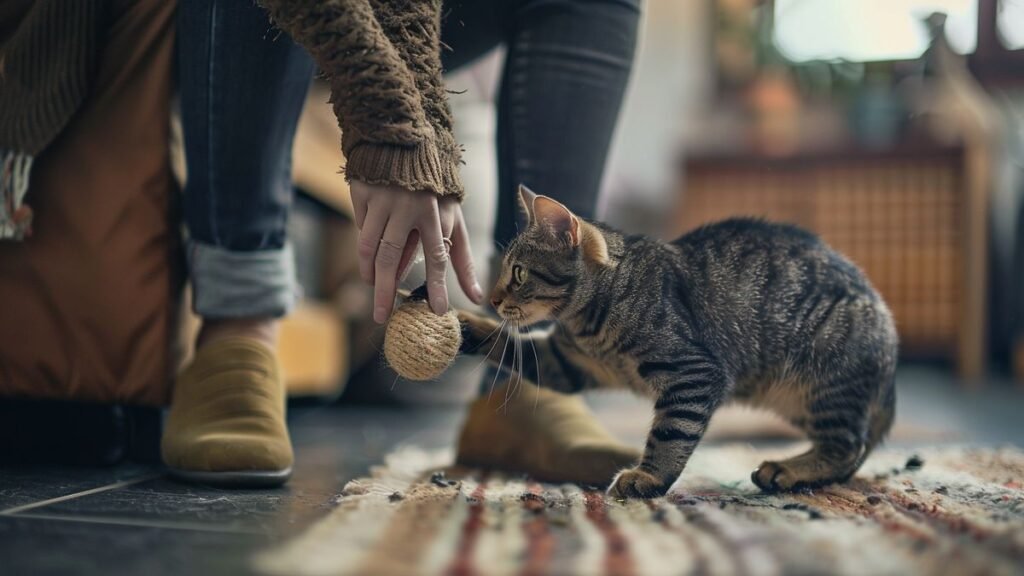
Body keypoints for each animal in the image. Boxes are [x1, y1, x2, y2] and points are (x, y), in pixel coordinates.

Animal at [456, 184, 897, 498]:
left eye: (518, 274)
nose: (492, 300)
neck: (589, 324)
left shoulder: (693, 372)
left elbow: (671, 433)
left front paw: (649, 477)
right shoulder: (567, 364)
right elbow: (511, 346)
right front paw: (467, 324)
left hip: (822, 379)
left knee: (847, 446)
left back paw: (788, 469)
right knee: (852, 453)